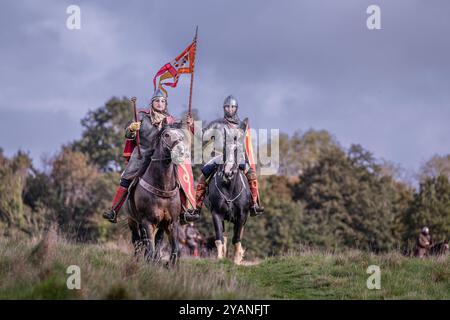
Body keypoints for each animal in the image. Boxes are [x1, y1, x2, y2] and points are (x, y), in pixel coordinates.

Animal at [126, 125, 188, 264]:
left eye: (181, 136)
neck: (162, 188)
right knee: (137, 242)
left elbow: (174, 250)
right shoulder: (148, 222)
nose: (181, 151)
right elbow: (149, 249)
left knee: (156, 241)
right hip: (132, 221)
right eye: (166, 135)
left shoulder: (172, 223)